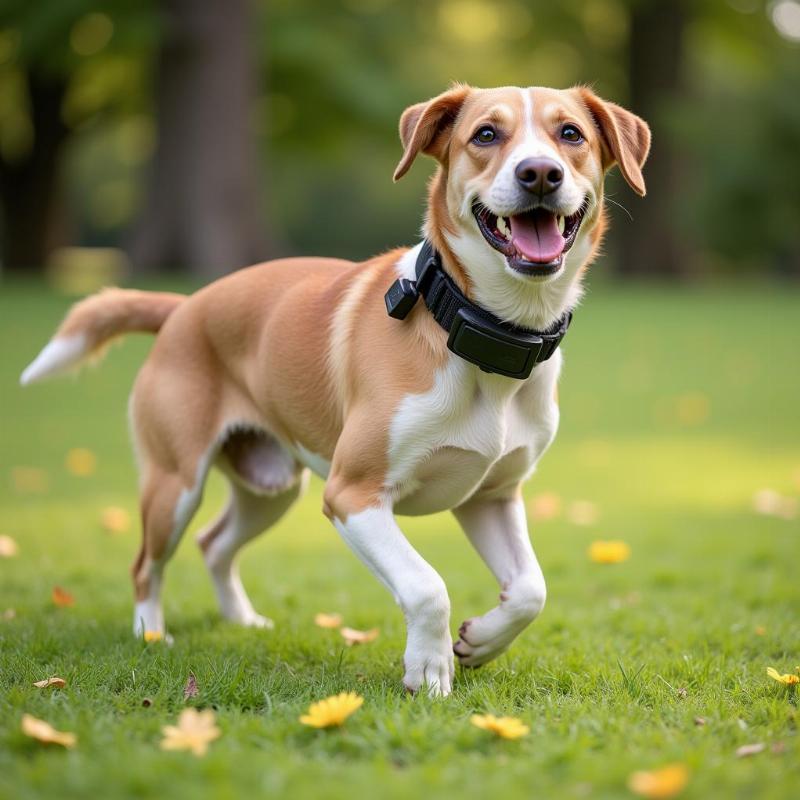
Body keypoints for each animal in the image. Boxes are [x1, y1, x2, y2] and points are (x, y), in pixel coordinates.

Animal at [21, 83, 648, 692]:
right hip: (174, 485)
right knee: (146, 565)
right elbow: (426, 585)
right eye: (486, 135)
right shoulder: (353, 495)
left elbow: (530, 591)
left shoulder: (491, 495)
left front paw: (479, 642)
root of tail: (184, 308)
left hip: (270, 486)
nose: (539, 173)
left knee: (214, 543)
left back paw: (241, 620)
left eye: (571, 134)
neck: (478, 332)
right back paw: (152, 633)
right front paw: (430, 669)